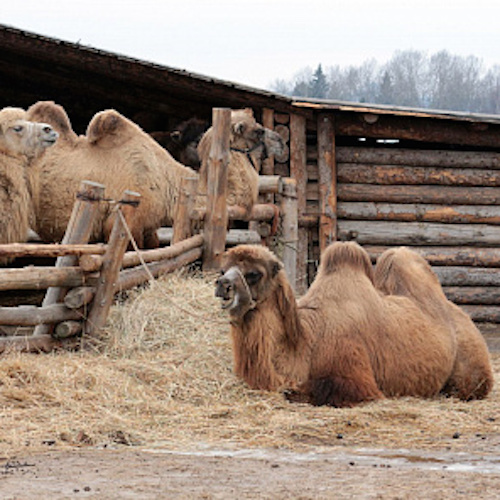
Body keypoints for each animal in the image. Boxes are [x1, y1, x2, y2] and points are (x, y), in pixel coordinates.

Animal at [214, 240, 472, 408]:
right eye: (223, 269)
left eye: (254, 273)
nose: (222, 285)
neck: (309, 339)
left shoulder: (355, 375)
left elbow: (315, 390)